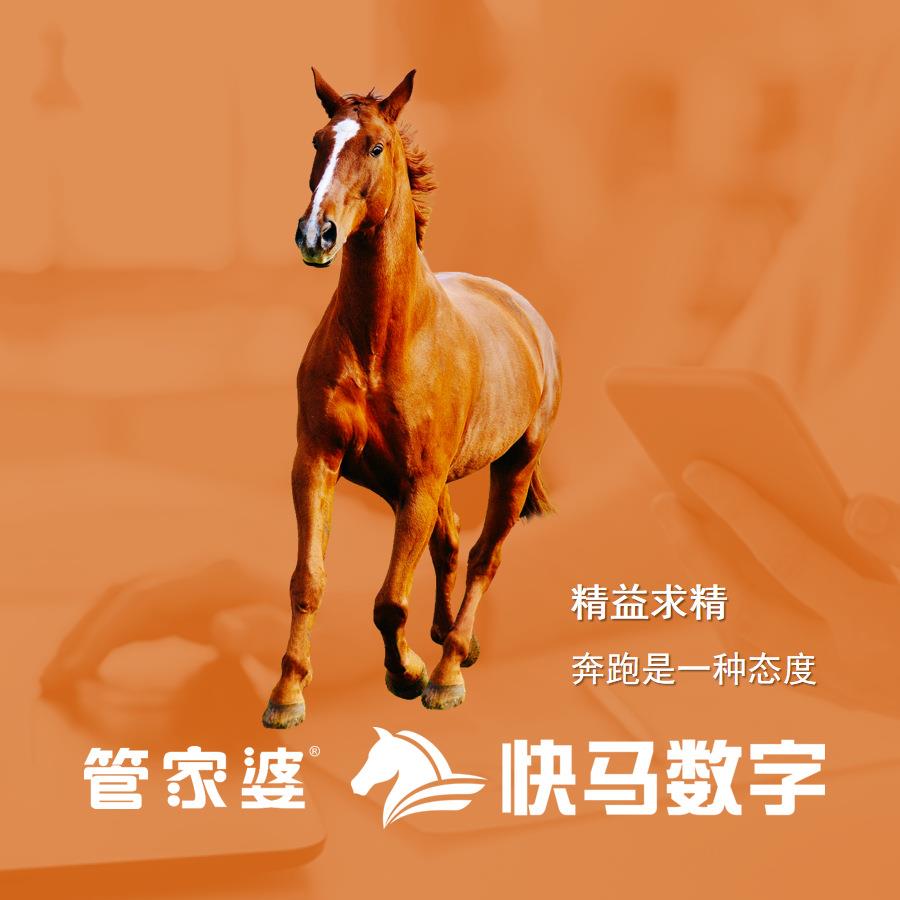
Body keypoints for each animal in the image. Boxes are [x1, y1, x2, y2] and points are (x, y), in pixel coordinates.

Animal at [261, 68, 561, 729]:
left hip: (514, 463)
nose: (316, 234)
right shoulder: (318, 461)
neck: (383, 340)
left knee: (483, 557)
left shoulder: (418, 483)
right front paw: (287, 693)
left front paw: (410, 674)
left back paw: (448, 669)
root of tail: (527, 317)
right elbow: (308, 580)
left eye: (375, 146)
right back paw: (452, 641)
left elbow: (389, 600)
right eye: (318, 140)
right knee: (450, 545)